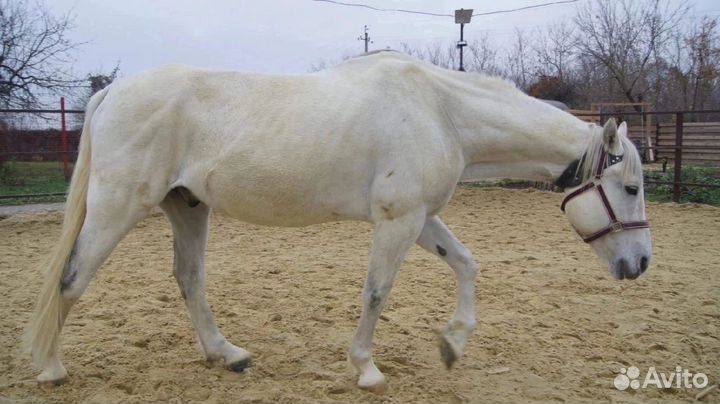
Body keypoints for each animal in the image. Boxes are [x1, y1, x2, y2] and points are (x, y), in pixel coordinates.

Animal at [27, 50, 651, 394]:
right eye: (631, 188)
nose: (640, 264)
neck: (441, 110)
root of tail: (112, 92)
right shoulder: (398, 220)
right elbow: (376, 292)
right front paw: (366, 369)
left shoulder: (422, 218)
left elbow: (467, 265)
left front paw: (452, 344)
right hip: (118, 206)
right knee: (72, 277)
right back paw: (51, 369)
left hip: (188, 206)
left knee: (189, 280)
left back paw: (227, 355)